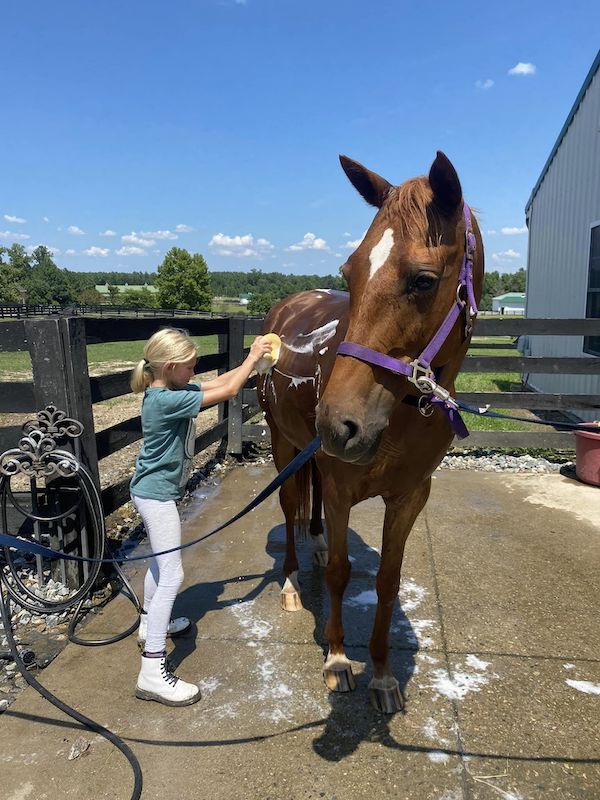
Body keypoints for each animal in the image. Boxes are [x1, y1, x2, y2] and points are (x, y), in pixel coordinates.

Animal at [258, 152, 482, 712]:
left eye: (423, 280)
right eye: (350, 271)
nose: (338, 423)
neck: (402, 414)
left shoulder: (409, 497)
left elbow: (387, 581)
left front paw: (382, 675)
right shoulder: (341, 488)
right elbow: (340, 573)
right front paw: (339, 660)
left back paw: (315, 545)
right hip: (284, 442)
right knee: (290, 506)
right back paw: (292, 581)